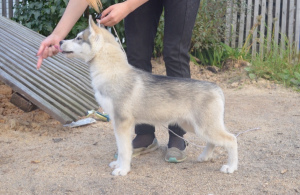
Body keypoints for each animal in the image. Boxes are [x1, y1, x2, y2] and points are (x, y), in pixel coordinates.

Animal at [60, 16, 239, 176]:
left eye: (78, 38)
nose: (60, 42)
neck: (112, 72)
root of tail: (216, 87)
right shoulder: (119, 123)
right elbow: (122, 147)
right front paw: (118, 164)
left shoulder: (122, 122)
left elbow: (124, 150)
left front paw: (122, 170)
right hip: (192, 125)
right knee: (213, 141)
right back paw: (204, 156)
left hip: (204, 127)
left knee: (231, 140)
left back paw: (230, 167)